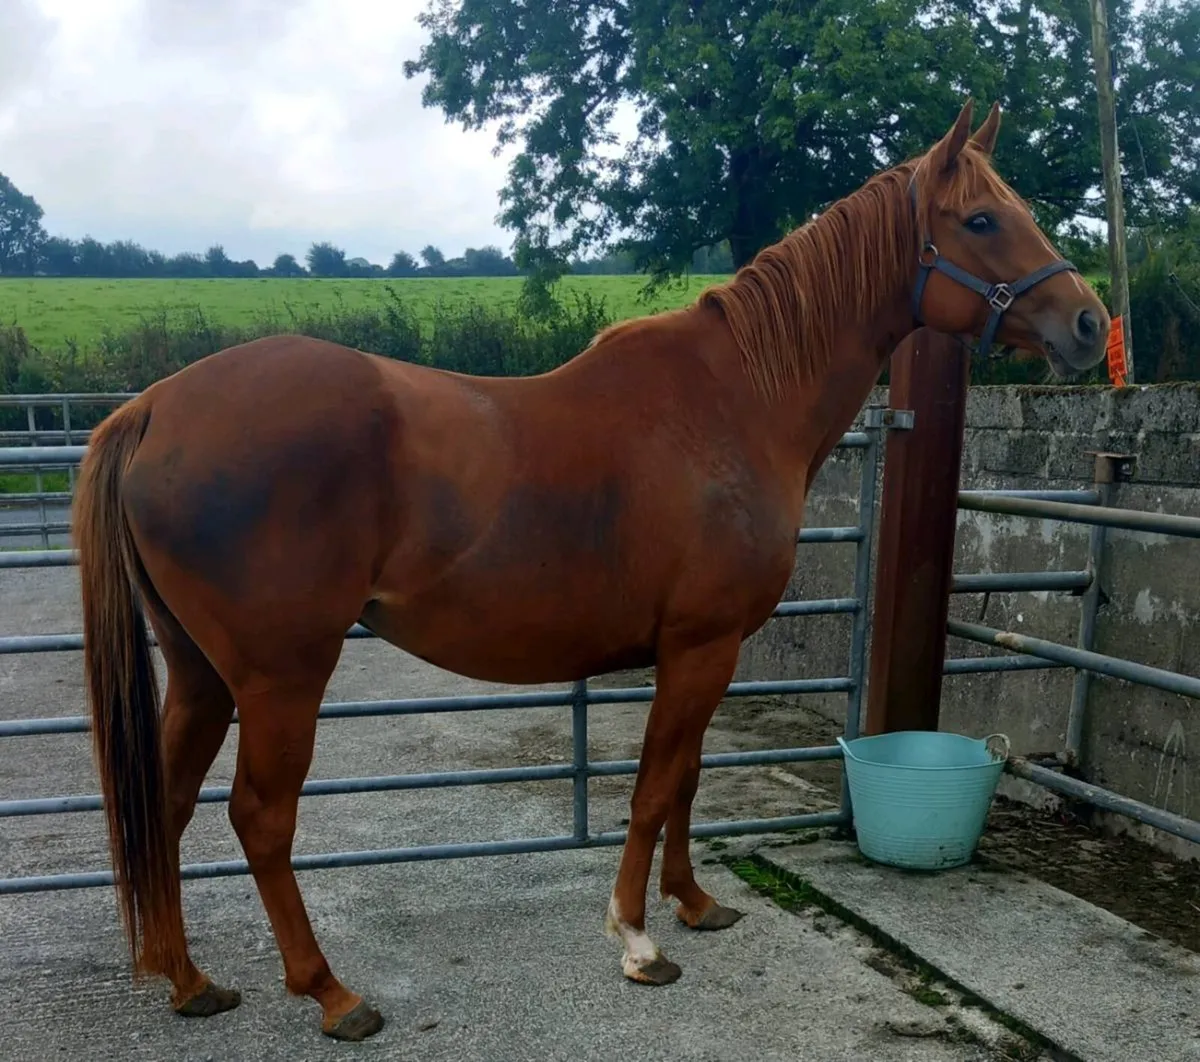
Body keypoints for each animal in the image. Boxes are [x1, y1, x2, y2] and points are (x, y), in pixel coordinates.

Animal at [72, 99, 1108, 1042]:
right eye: (982, 220)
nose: (1092, 325)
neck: (736, 401)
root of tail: (155, 407)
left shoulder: (708, 651)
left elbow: (685, 777)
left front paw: (697, 904)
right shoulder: (699, 646)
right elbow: (652, 787)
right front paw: (639, 942)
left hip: (200, 674)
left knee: (165, 803)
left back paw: (188, 981)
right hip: (281, 677)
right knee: (259, 817)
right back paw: (330, 992)